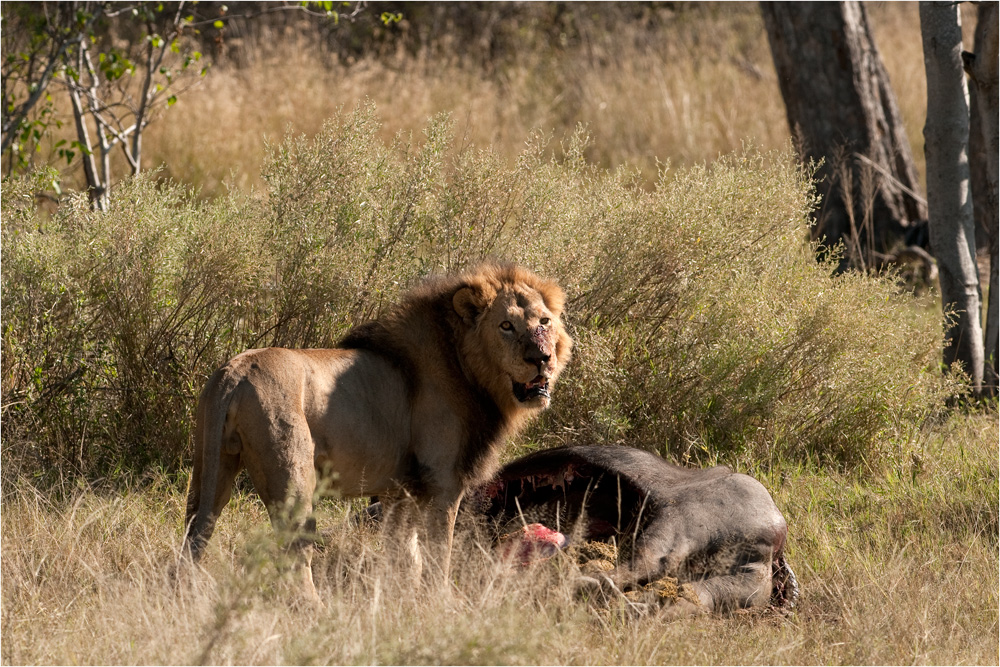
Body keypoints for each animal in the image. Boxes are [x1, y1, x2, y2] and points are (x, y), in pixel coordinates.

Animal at [181, 264, 572, 604]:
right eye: (506, 325)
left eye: (544, 321)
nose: (541, 358)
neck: (470, 370)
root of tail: (234, 373)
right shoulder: (443, 482)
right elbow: (437, 554)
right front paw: (439, 603)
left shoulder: (400, 491)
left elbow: (404, 554)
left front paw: (400, 599)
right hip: (292, 475)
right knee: (294, 550)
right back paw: (314, 610)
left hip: (211, 470)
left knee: (195, 535)